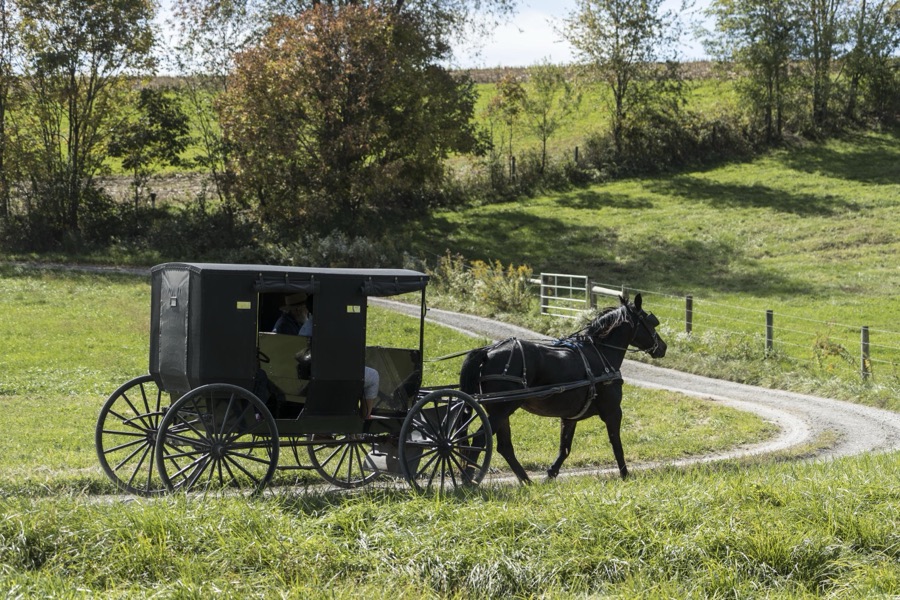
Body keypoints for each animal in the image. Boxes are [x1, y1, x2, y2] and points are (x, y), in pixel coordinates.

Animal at [459, 294, 666, 484]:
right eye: (650, 322)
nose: (663, 347)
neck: (601, 353)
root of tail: (488, 351)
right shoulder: (613, 411)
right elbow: (617, 444)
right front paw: (625, 475)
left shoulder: (569, 417)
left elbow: (565, 449)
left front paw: (550, 475)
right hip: (501, 409)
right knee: (480, 440)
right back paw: (468, 480)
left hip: (501, 410)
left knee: (504, 447)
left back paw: (527, 482)